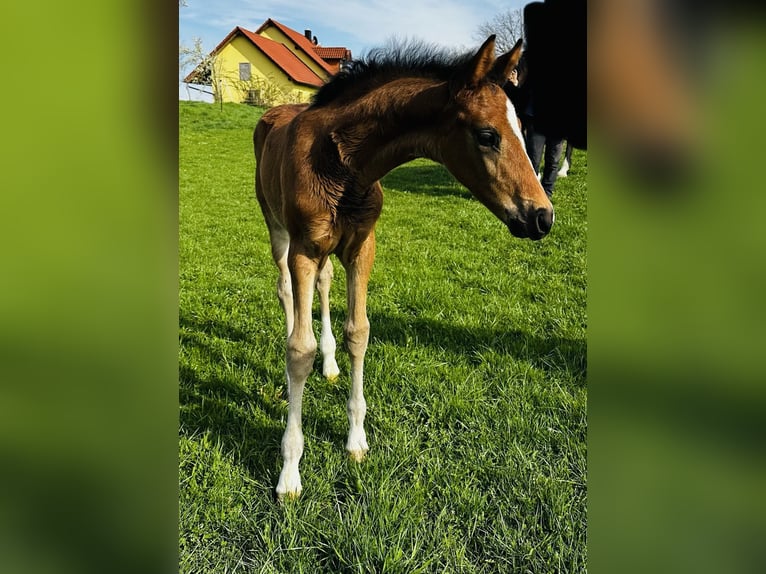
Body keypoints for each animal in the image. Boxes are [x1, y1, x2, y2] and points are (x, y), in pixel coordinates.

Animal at [253, 35, 554, 499]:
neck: (343, 167)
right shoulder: (303, 248)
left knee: (324, 283)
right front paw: (289, 473)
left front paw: (356, 440)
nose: (543, 217)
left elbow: (359, 332)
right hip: (277, 226)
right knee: (285, 288)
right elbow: (298, 350)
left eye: (523, 130)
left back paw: (330, 364)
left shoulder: (361, 246)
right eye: (487, 135)